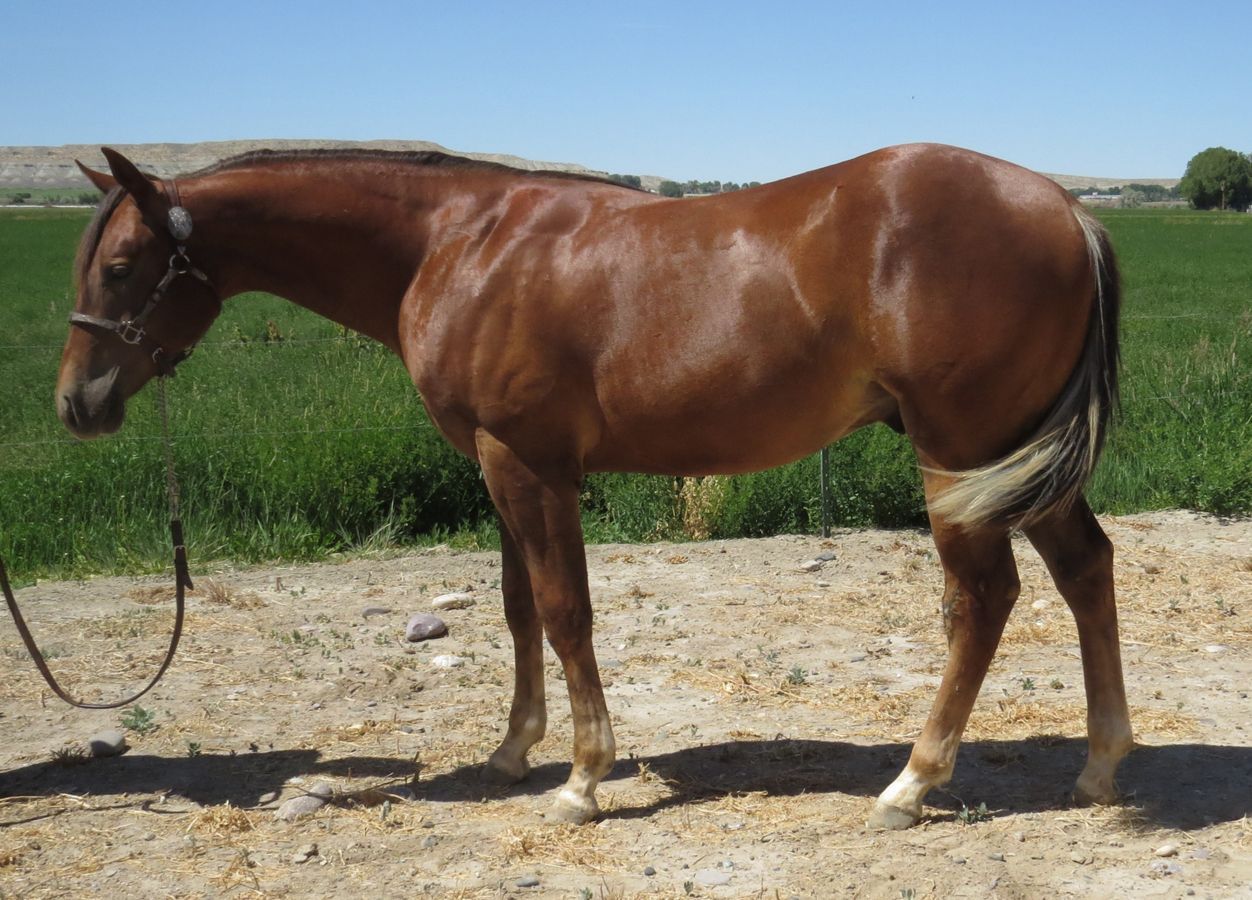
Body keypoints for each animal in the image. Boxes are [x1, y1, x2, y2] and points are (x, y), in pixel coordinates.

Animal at [56, 143, 1130, 829]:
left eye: (124, 264)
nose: (77, 404)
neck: (459, 243)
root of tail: (1068, 208)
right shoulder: (500, 466)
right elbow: (519, 609)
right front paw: (513, 751)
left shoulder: (529, 467)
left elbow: (566, 611)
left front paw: (580, 780)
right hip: (1017, 461)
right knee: (1086, 569)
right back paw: (1099, 767)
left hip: (961, 456)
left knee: (983, 598)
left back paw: (913, 783)